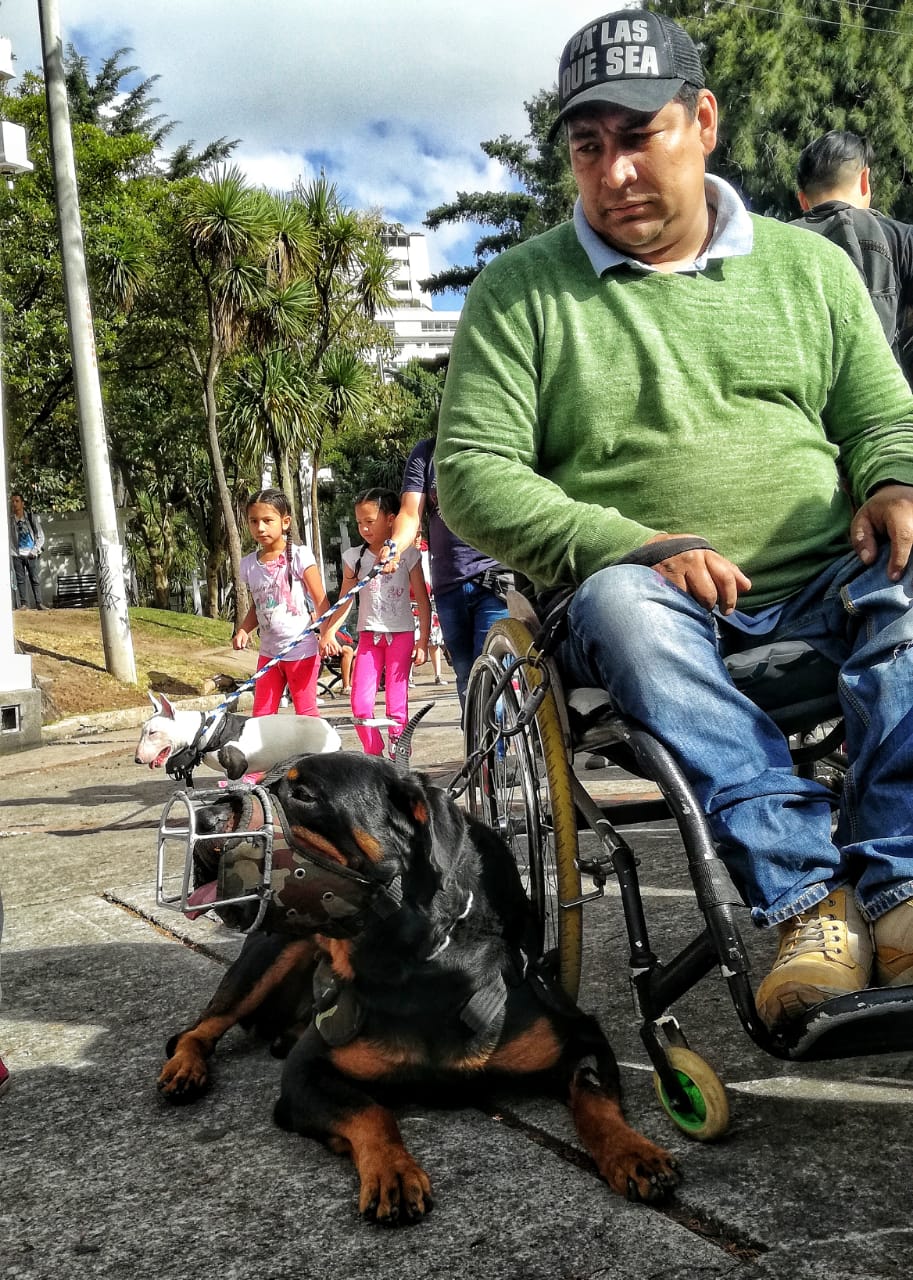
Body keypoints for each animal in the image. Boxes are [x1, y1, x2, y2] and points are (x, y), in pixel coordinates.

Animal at [133, 696, 335, 773]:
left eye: (153, 732)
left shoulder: (238, 767)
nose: (137, 759)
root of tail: (330, 728)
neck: (207, 730)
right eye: (143, 731)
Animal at [158, 752, 676, 1223]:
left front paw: (633, 1152)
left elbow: (592, 1095)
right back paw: (185, 1069)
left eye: (303, 794)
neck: (413, 964)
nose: (204, 819)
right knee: (200, 1027)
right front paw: (392, 1170)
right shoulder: (306, 1073)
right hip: (268, 955)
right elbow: (370, 1111)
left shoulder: (579, 1035)